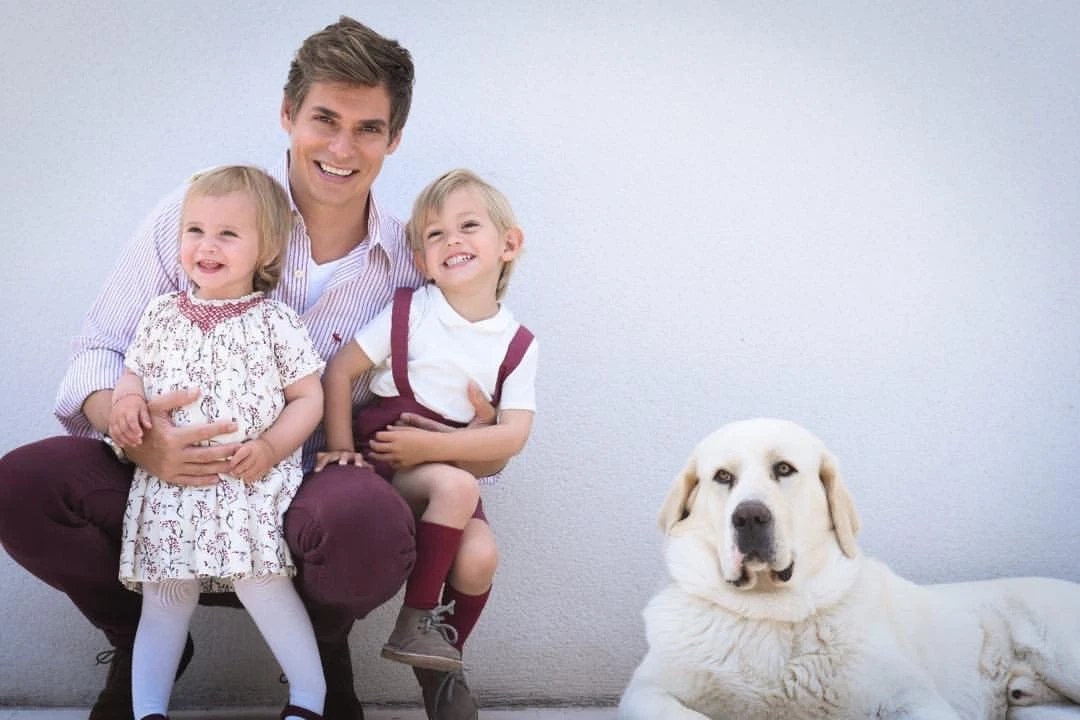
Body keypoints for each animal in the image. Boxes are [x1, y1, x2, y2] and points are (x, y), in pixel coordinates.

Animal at [619, 418, 1080, 719]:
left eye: (783, 469)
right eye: (722, 477)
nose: (749, 517)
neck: (770, 616)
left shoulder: (914, 697)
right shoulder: (644, 692)